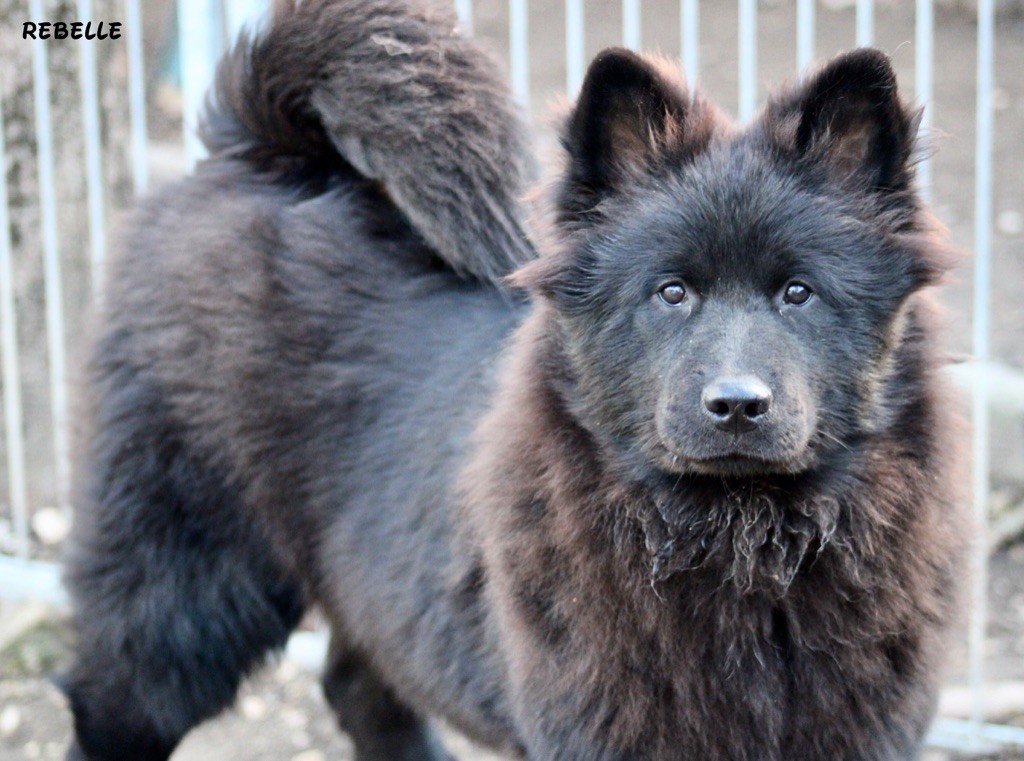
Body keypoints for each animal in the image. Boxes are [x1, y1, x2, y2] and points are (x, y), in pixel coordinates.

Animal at [61, 1, 966, 761]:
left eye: (798, 292)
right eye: (671, 292)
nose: (737, 404)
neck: (739, 543)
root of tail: (259, 147)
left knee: (360, 688)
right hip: (183, 586)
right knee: (113, 706)